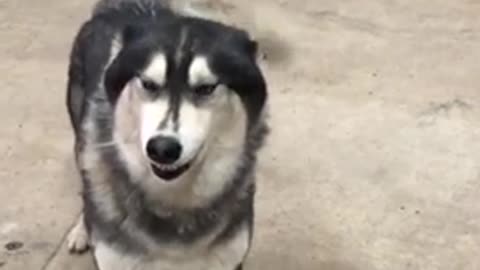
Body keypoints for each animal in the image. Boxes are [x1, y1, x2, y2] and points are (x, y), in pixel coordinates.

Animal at [64, 0, 268, 270]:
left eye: (206, 88)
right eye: (149, 84)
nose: (162, 149)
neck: (171, 199)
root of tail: (121, 7)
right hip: (82, 139)